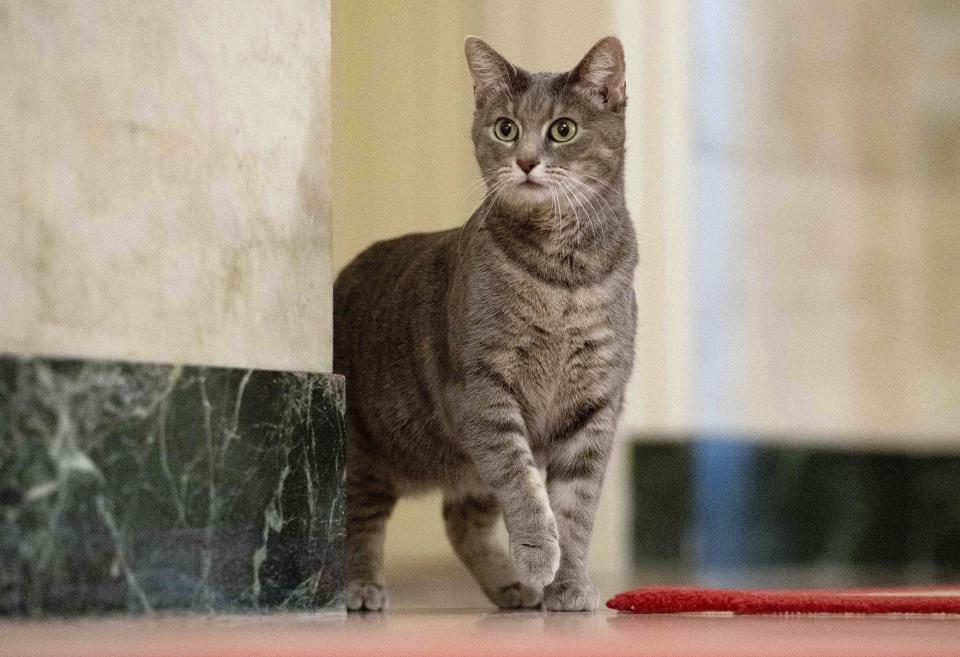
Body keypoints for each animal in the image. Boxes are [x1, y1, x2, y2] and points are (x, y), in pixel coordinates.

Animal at [334, 36, 632, 608]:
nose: (526, 161)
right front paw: (538, 553)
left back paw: (512, 587)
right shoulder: (485, 392)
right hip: (365, 450)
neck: (563, 278)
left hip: (463, 469)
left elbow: (575, 509)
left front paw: (568, 584)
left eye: (563, 129)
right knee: (357, 519)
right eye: (506, 128)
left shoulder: (596, 404)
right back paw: (360, 586)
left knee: (460, 520)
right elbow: (522, 483)